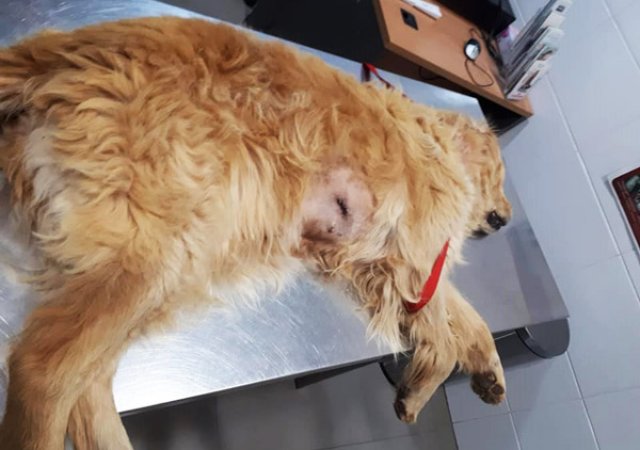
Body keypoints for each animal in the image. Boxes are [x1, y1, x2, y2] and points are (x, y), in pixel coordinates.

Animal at [0, 17, 510, 449]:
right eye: (503, 179)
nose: (506, 218)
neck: (440, 144)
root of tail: (53, 54)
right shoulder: (413, 257)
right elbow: (446, 338)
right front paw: (420, 391)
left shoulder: (396, 265)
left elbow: (470, 317)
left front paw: (489, 371)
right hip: (152, 255)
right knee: (42, 369)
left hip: (162, 273)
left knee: (88, 383)